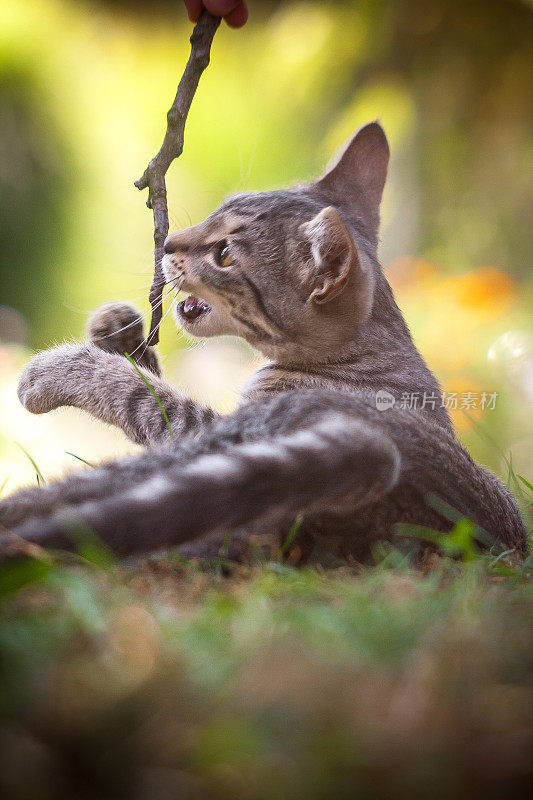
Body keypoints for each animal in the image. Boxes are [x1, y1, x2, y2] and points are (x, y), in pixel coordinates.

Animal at [0, 125, 524, 564]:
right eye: (213, 213)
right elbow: (143, 367)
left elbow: (138, 390)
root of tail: (386, 450)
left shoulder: (199, 427)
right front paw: (116, 326)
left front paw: (58, 369)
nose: (167, 242)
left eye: (224, 254)